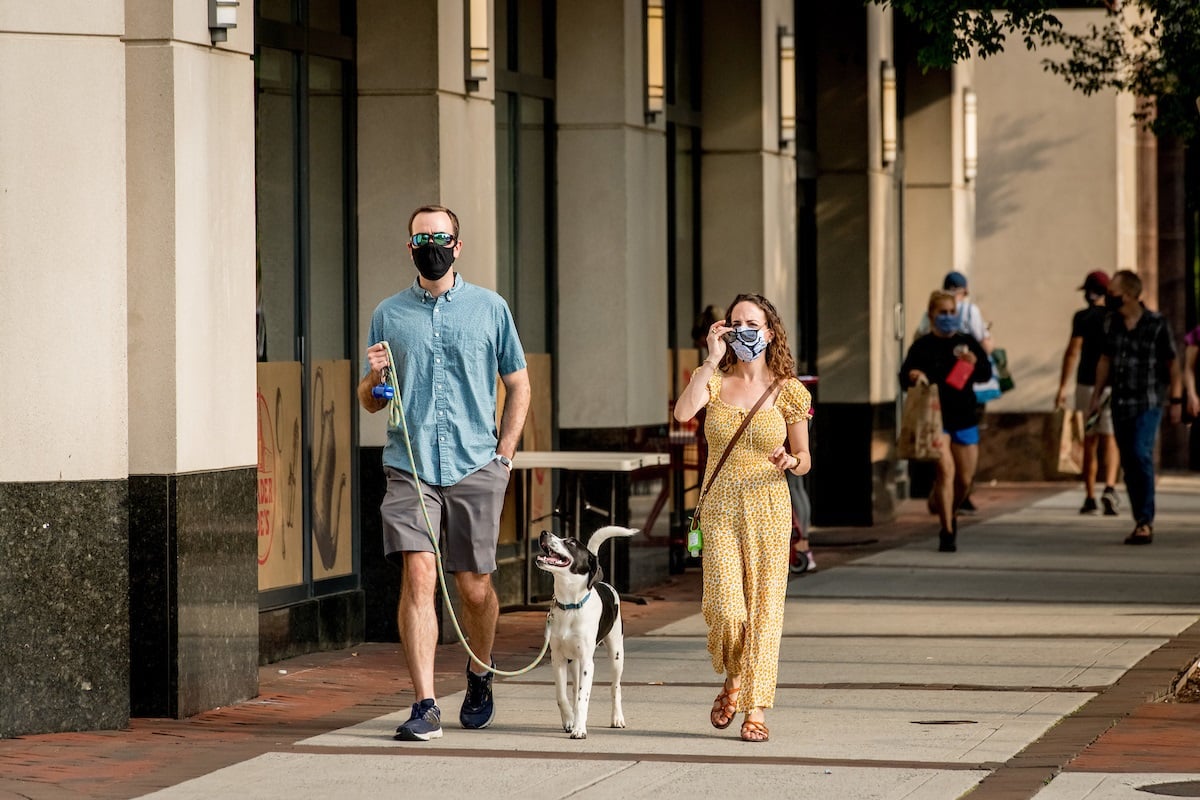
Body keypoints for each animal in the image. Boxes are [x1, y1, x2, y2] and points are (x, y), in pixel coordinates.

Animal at [537, 525, 638, 738]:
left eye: (571, 542)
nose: (544, 532)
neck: (570, 606)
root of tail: (603, 583)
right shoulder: (557, 658)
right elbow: (562, 694)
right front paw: (570, 720)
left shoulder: (587, 662)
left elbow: (583, 698)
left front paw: (579, 729)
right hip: (573, 662)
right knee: (575, 691)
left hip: (616, 654)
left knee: (615, 687)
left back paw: (617, 718)